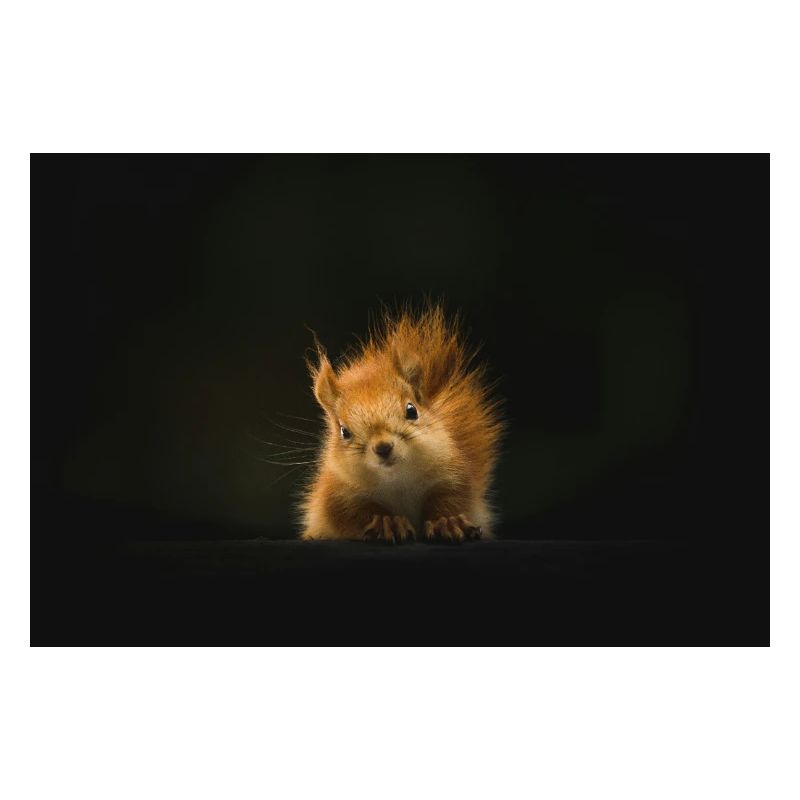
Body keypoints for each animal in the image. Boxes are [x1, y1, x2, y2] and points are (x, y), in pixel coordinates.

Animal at [299, 305, 503, 543]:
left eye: (412, 410)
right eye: (344, 431)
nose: (383, 447)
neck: (397, 480)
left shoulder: (452, 474)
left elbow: (452, 499)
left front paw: (447, 521)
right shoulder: (337, 494)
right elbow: (352, 514)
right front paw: (387, 523)